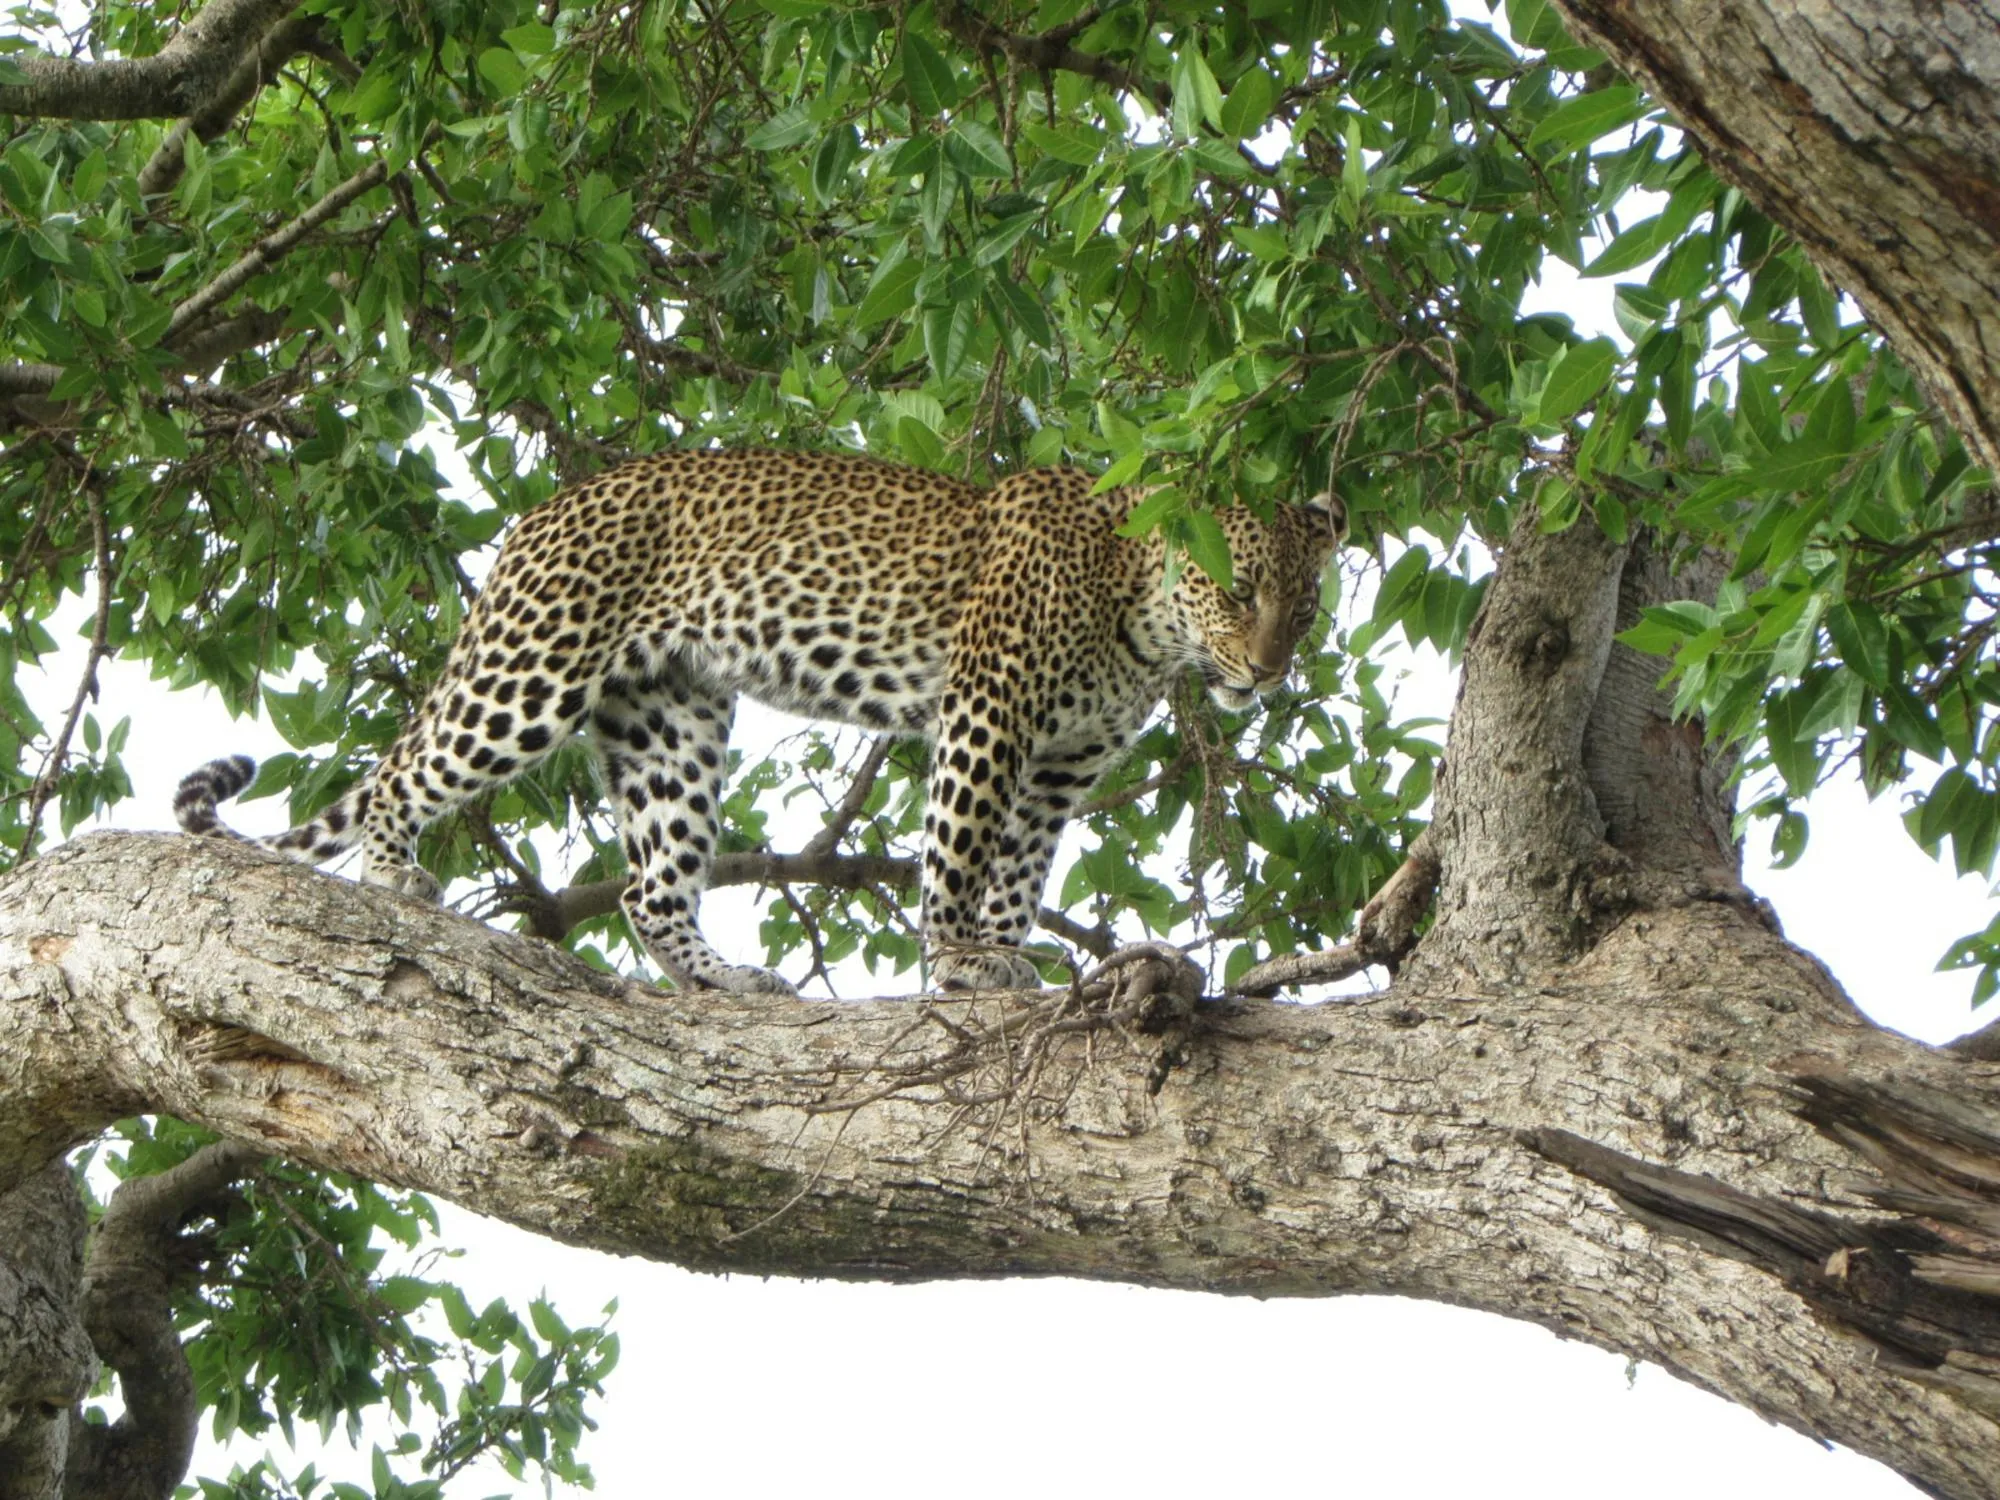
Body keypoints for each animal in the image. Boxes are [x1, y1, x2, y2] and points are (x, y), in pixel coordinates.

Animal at [176, 448, 1346, 996]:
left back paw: (719, 977)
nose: (1265, 670)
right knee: (409, 769)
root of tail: (540, 513)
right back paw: (393, 873)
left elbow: (1017, 869)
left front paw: (1001, 959)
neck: (1141, 618)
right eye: (1238, 588)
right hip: (533, 671)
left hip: (667, 717)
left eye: (1305, 605)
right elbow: (961, 850)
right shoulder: (987, 710)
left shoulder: (1062, 765)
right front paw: (958, 957)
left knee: (650, 886)